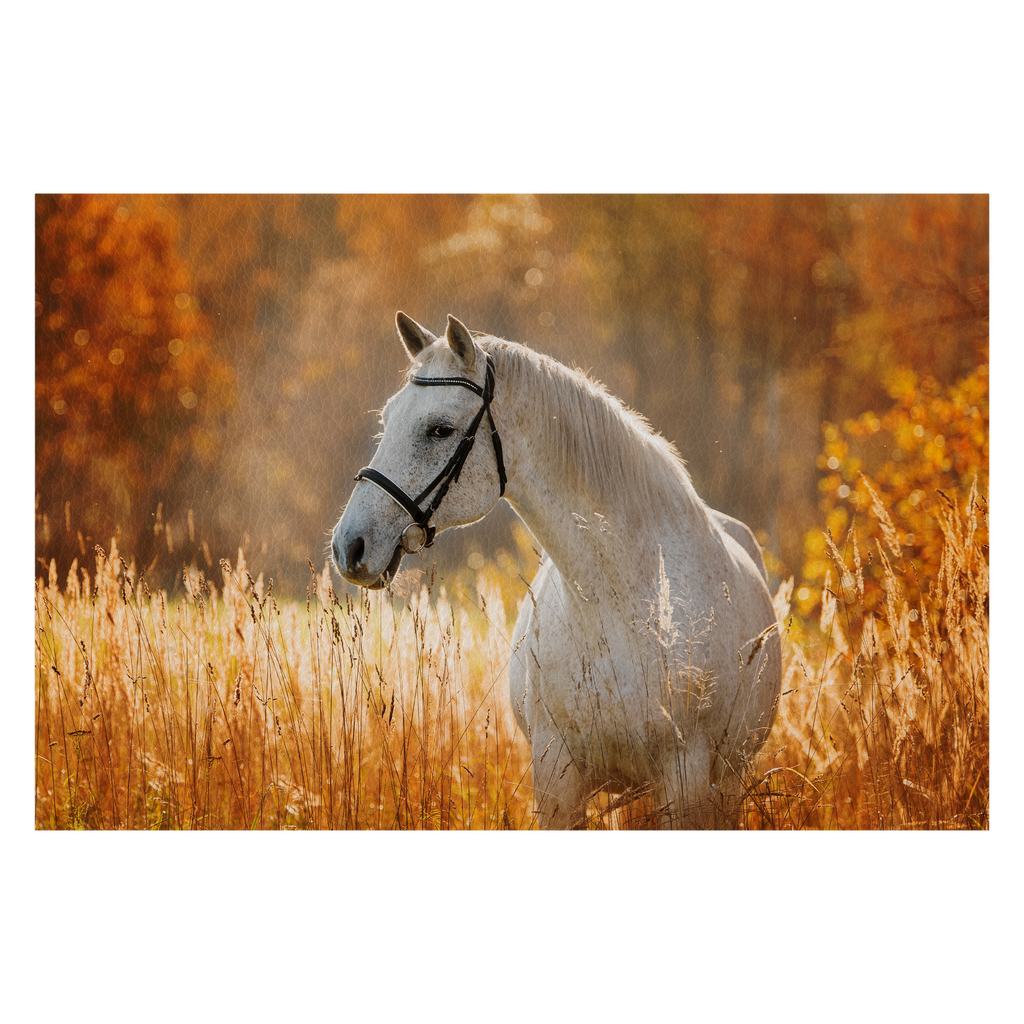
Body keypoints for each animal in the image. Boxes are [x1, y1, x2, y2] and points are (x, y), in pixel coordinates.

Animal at [331, 311, 778, 831]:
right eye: (387, 419)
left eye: (440, 430)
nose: (349, 546)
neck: (622, 603)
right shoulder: (556, 775)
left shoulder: (686, 777)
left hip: (727, 780)